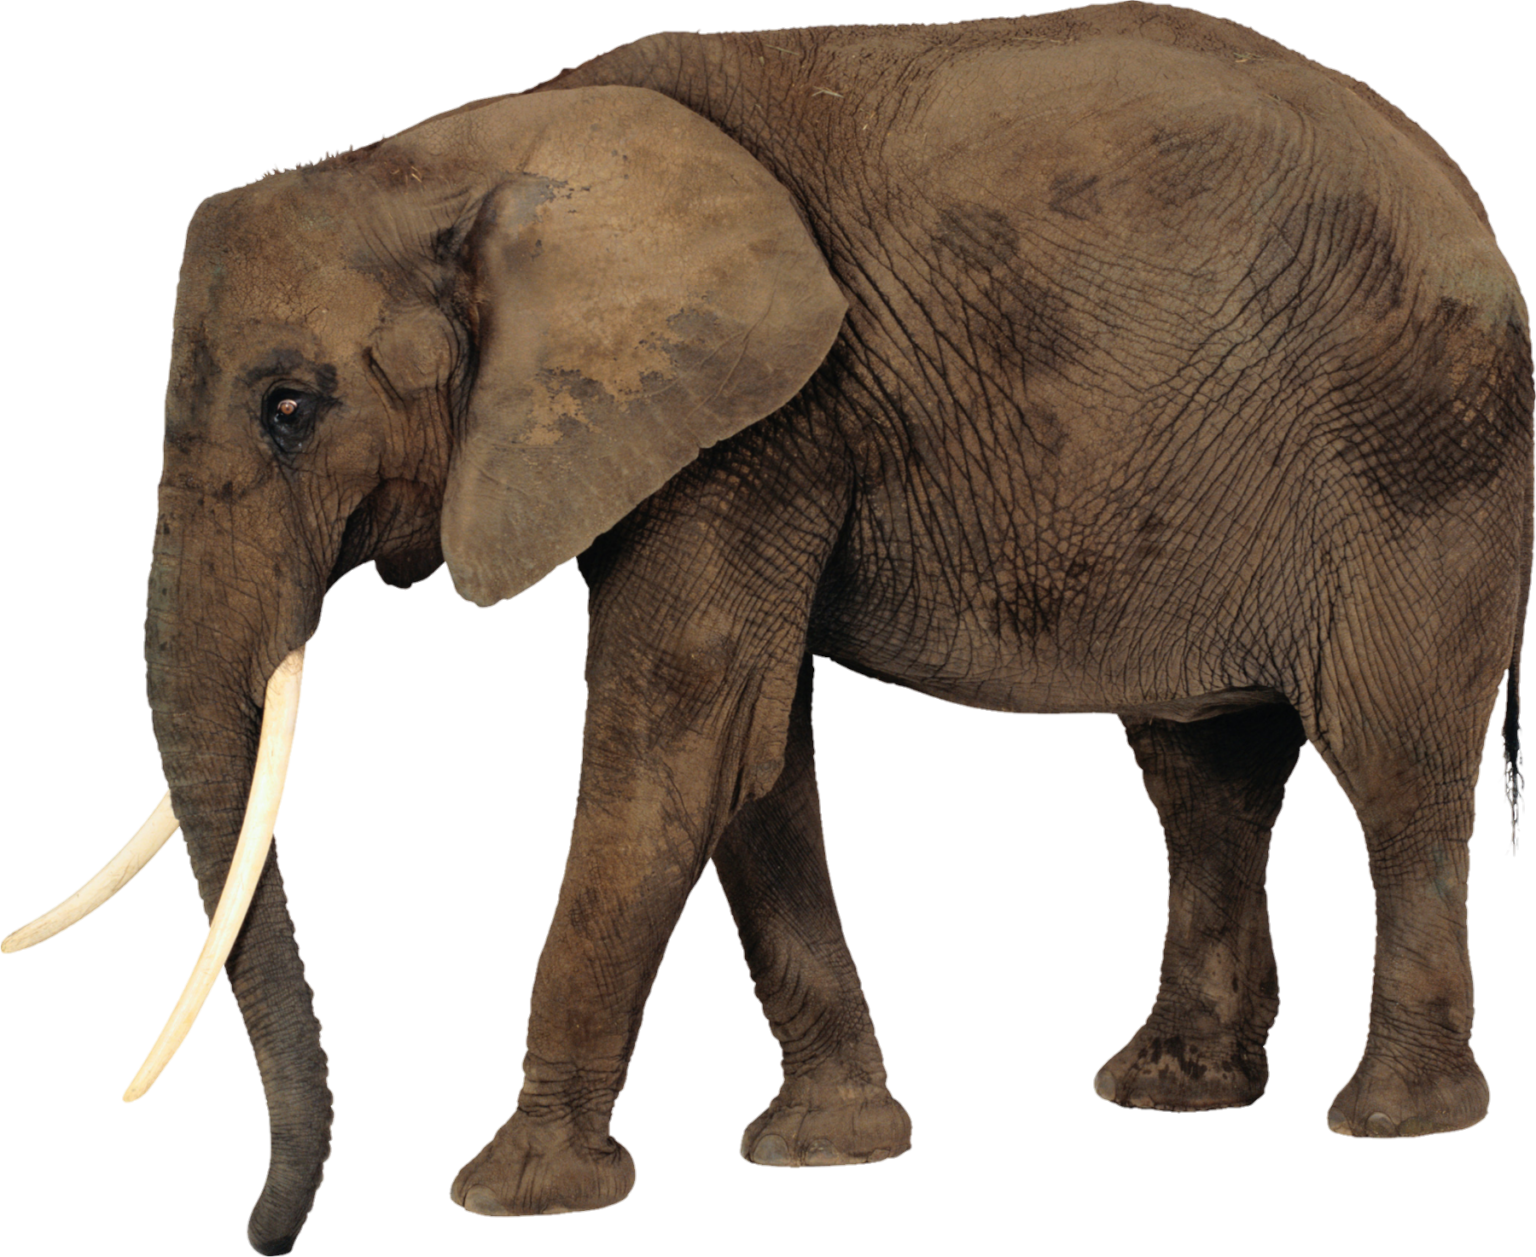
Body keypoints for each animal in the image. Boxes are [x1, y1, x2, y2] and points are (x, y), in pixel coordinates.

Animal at [5, 4, 1530, 1252]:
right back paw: (1171, 1090)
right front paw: (826, 1153)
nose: (269, 1235)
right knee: (1202, 769)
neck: (465, 155)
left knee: (1391, 767)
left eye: (288, 407)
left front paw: (514, 1193)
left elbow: (675, 740)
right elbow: (752, 756)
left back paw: (1392, 1118)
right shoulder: (745, 430)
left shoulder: (764, 421)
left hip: (1420, 451)